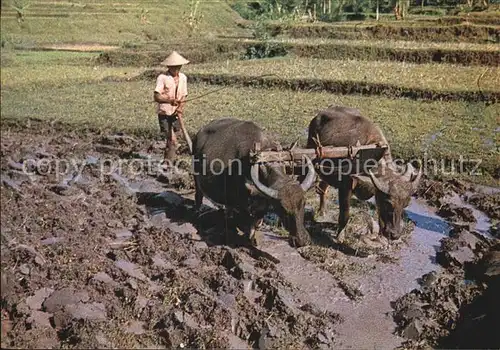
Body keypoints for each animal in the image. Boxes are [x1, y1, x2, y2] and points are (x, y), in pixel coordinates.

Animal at [192, 119, 316, 247]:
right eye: (282, 208)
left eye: (303, 203)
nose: (301, 240)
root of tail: (199, 132)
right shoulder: (241, 201)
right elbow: (249, 220)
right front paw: (248, 238)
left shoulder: (263, 200)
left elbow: (257, 219)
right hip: (196, 177)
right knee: (198, 196)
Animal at [306, 105, 420, 239]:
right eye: (388, 203)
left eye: (405, 205)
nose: (395, 235)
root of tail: (318, 116)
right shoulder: (345, 186)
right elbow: (344, 214)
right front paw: (340, 236)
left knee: (323, 187)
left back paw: (322, 211)